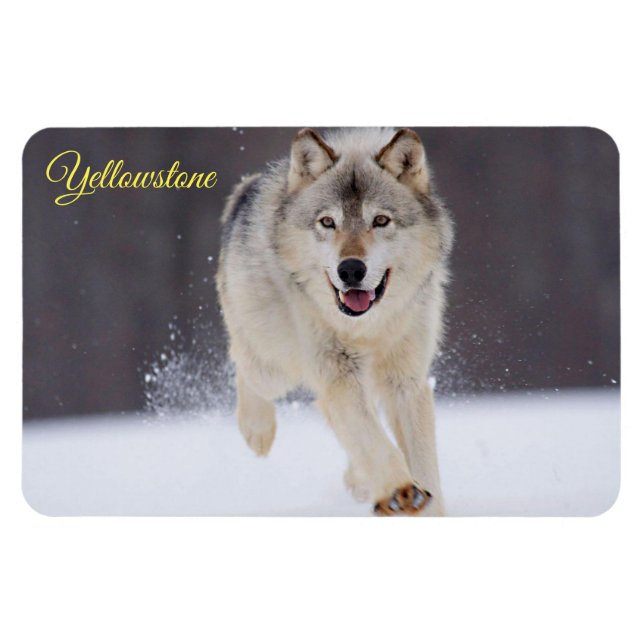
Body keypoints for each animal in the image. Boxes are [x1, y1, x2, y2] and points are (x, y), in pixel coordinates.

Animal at [216, 128, 454, 516]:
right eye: (328, 222)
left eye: (380, 220)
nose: (351, 270)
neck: (367, 329)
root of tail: (246, 189)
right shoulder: (338, 373)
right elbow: (373, 439)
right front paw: (400, 489)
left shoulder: (406, 381)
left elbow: (421, 462)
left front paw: (422, 503)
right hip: (275, 366)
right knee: (243, 363)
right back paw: (257, 430)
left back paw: (360, 481)